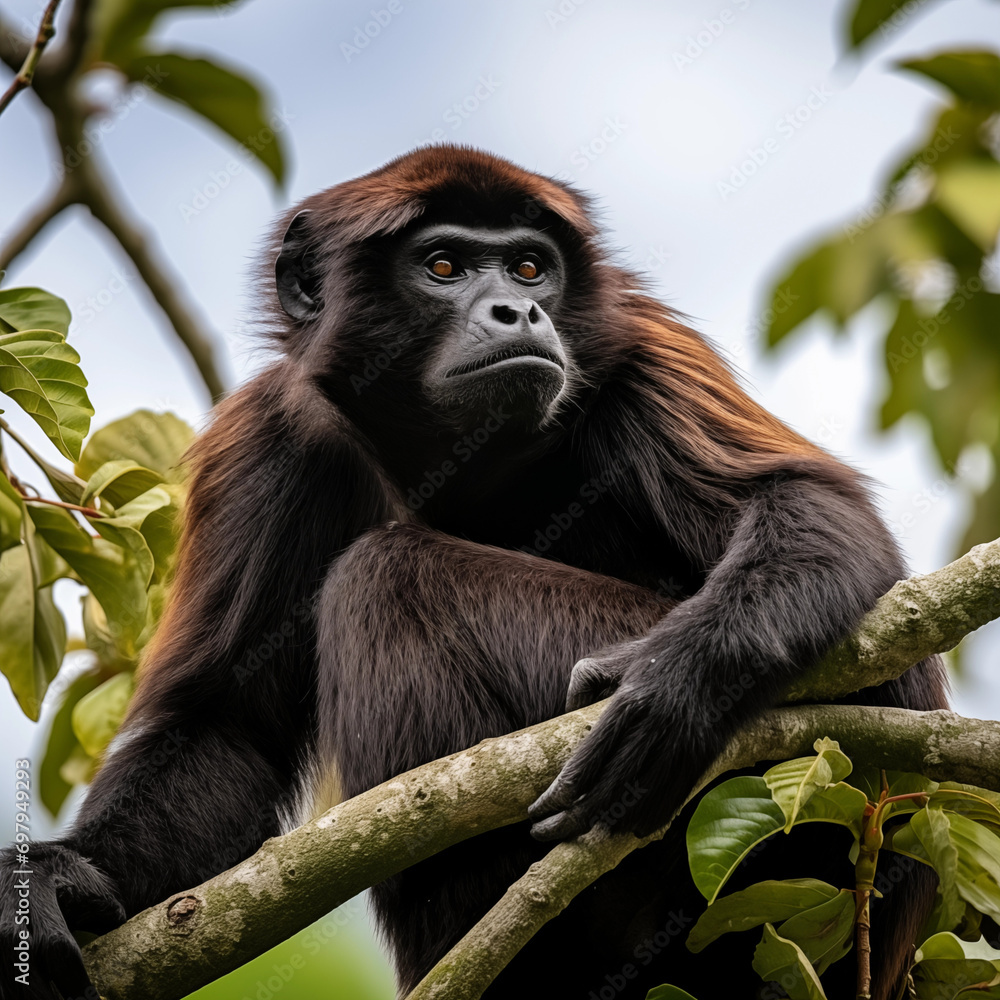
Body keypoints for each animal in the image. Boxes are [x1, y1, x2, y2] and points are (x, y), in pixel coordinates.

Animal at [0, 146, 945, 1000]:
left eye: (530, 266)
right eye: (444, 266)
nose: (518, 310)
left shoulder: (643, 347)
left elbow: (814, 504)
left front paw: (675, 683)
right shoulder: (268, 432)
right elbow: (226, 723)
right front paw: (59, 875)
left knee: (387, 573)